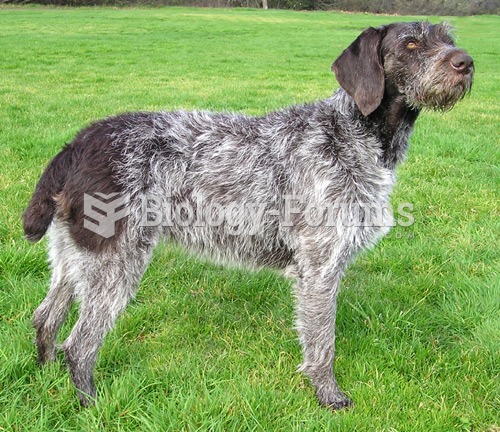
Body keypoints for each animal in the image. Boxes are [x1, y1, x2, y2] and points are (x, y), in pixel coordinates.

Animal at [23, 21, 474, 408]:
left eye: (447, 38)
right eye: (410, 44)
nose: (465, 61)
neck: (351, 133)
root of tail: (79, 143)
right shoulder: (320, 268)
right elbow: (322, 343)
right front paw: (328, 396)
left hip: (74, 256)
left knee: (45, 319)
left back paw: (45, 378)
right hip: (115, 261)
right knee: (79, 345)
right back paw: (90, 404)